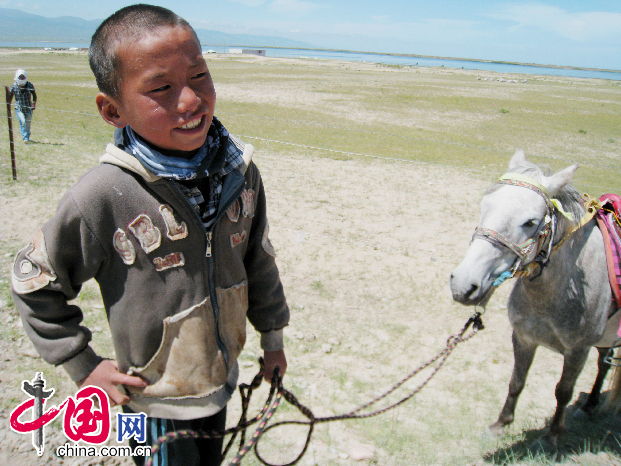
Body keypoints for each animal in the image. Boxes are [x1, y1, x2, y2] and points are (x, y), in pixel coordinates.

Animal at [448, 148, 616, 452]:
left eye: (530, 222)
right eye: (484, 206)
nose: (463, 284)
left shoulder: (578, 350)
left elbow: (563, 391)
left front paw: (552, 436)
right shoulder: (524, 338)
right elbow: (517, 381)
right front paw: (499, 426)